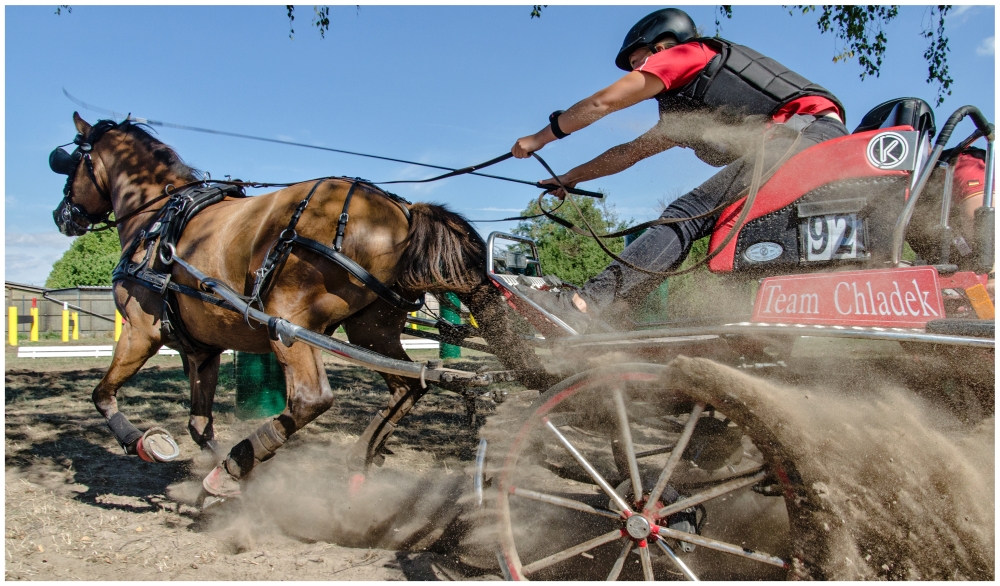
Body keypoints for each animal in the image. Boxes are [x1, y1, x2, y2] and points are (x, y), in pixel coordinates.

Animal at [50, 114, 544, 498]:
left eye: (67, 162)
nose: (62, 215)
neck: (160, 220)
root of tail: (401, 212)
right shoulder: (202, 350)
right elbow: (198, 424)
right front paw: (221, 464)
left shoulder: (141, 330)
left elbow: (103, 395)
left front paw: (146, 442)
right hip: (370, 330)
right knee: (408, 386)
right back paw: (355, 460)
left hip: (286, 324)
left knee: (311, 399)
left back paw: (231, 472)